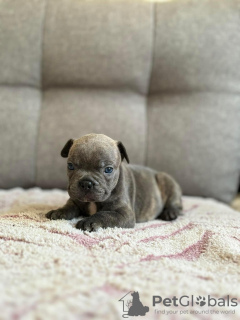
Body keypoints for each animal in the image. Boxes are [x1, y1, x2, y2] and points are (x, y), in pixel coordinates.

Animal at [46, 134, 183, 231]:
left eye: (108, 169)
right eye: (70, 166)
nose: (86, 183)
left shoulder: (124, 214)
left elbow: (106, 214)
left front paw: (89, 221)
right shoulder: (76, 201)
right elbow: (69, 206)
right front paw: (58, 211)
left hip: (166, 181)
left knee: (176, 204)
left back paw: (170, 213)